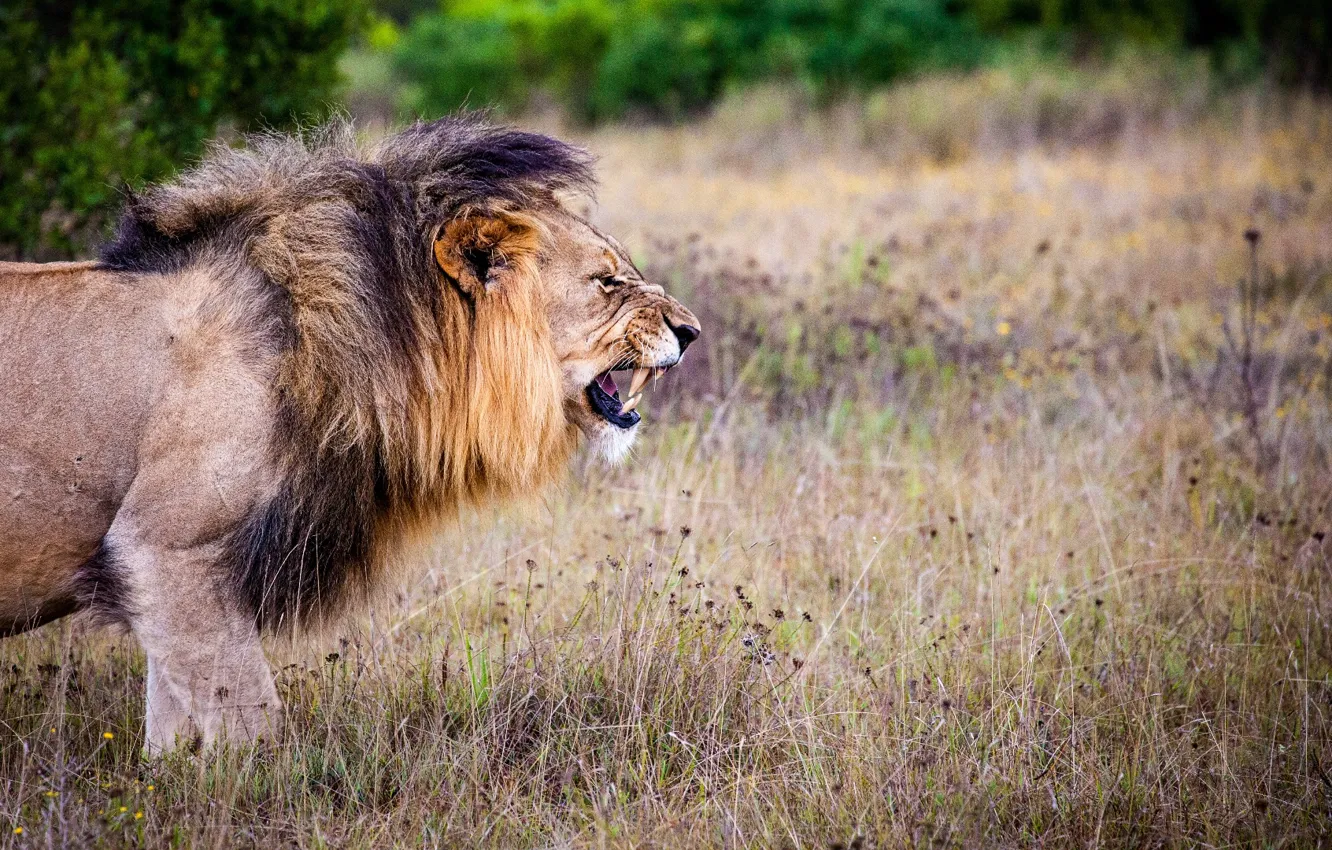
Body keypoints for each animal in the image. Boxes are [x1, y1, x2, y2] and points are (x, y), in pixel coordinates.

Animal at [0, 116, 703, 756]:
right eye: (608, 282)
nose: (692, 331)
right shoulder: (163, 546)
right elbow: (251, 722)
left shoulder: (170, 576)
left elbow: (172, 729)